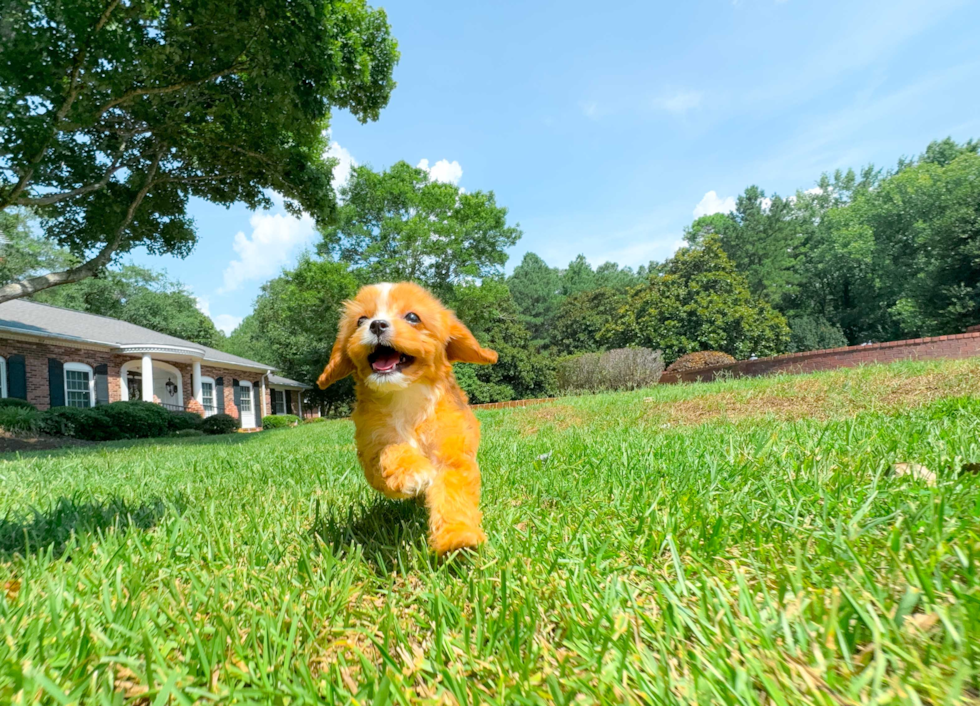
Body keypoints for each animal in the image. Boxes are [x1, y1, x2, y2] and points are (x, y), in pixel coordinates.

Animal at [316, 284, 498, 552]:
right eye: (361, 320)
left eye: (412, 317)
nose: (377, 325)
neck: (405, 395)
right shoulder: (373, 443)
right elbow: (391, 451)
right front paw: (411, 473)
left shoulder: (451, 453)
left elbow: (454, 492)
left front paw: (457, 537)